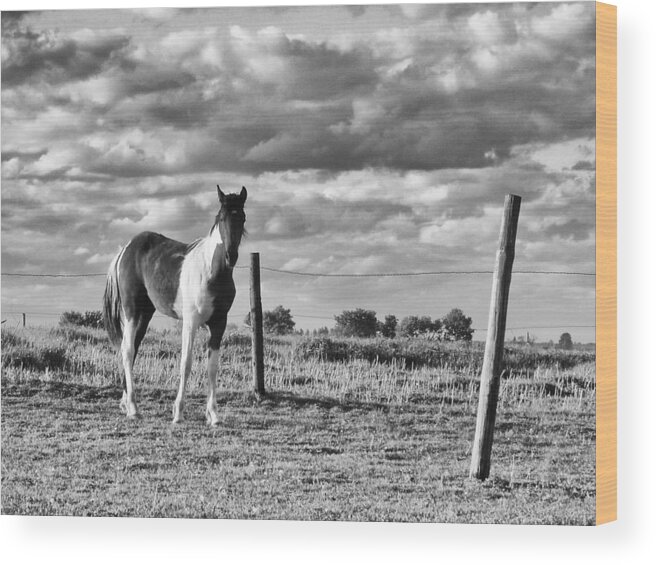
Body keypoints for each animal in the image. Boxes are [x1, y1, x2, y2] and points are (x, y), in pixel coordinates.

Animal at [104, 184, 247, 424]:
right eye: (222, 217)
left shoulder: (219, 323)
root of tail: (125, 249)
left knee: (133, 348)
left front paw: (213, 415)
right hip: (132, 311)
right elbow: (186, 364)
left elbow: (212, 367)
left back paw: (126, 404)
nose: (231, 256)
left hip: (145, 314)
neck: (211, 272)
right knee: (127, 350)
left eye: (243, 218)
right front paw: (178, 412)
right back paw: (133, 407)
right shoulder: (190, 322)